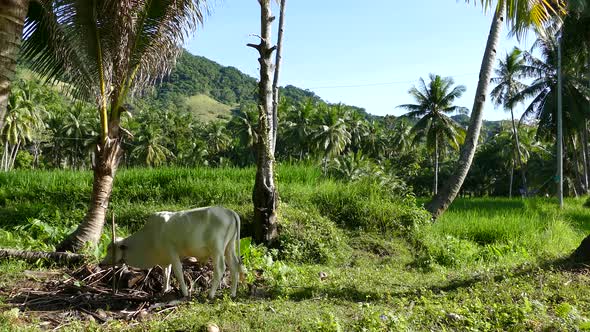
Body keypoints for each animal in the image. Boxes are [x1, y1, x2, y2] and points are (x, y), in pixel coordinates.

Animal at [100, 206, 246, 300]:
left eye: (110, 249)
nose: (101, 263)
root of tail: (228, 211)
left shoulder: (172, 252)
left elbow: (178, 272)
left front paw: (185, 293)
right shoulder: (166, 258)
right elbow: (166, 272)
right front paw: (165, 289)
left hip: (217, 249)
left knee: (221, 268)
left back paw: (211, 294)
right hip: (229, 247)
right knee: (234, 266)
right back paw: (232, 293)